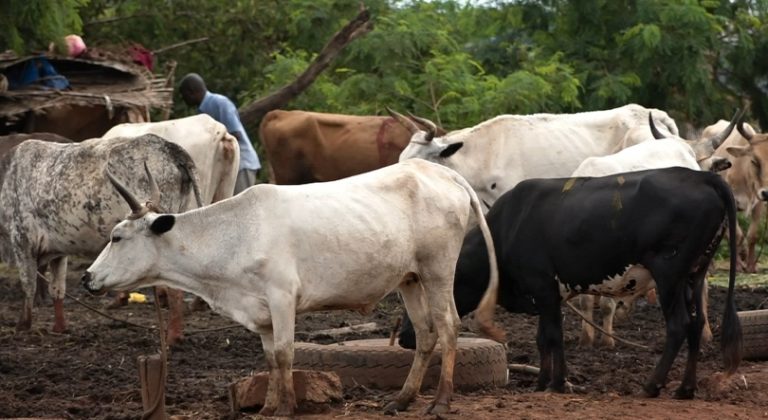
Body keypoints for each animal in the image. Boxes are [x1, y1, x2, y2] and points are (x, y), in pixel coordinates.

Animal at [81, 160, 504, 416]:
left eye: (117, 237)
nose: (87, 278)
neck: (233, 236)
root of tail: (439, 171)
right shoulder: (260, 311)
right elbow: (270, 359)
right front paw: (268, 408)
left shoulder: (282, 297)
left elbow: (285, 355)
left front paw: (285, 408)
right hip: (410, 278)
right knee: (427, 333)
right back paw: (402, 399)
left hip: (438, 269)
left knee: (448, 326)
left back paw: (441, 401)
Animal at [400, 166, 740, 398]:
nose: (404, 338)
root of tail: (701, 176)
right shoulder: (546, 294)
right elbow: (545, 338)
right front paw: (543, 382)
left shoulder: (542, 286)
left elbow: (553, 336)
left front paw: (558, 382)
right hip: (694, 275)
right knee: (696, 324)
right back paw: (685, 388)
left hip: (669, 274)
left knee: (679, 325)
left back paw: (652, 385)